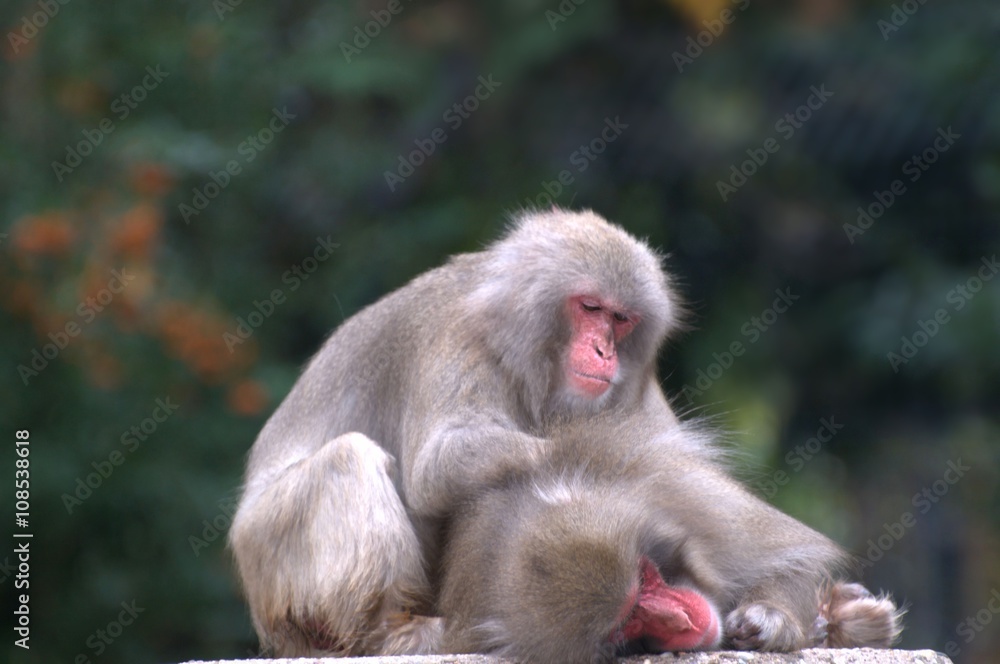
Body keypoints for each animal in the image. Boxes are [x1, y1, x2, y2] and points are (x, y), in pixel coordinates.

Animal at [228, 208, 686, 656]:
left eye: (621, 319)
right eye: (590, 307)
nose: (604, 352)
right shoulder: (462, 340)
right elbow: (435, 466)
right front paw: (580, 454)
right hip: (267, 551)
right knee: (350, 458)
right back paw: (391, 633)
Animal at [437, 411, 903, 663]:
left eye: (648, 577)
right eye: (627, 622)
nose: (681, 620)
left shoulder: (679, 490)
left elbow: (797, 557)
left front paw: (771, 619)